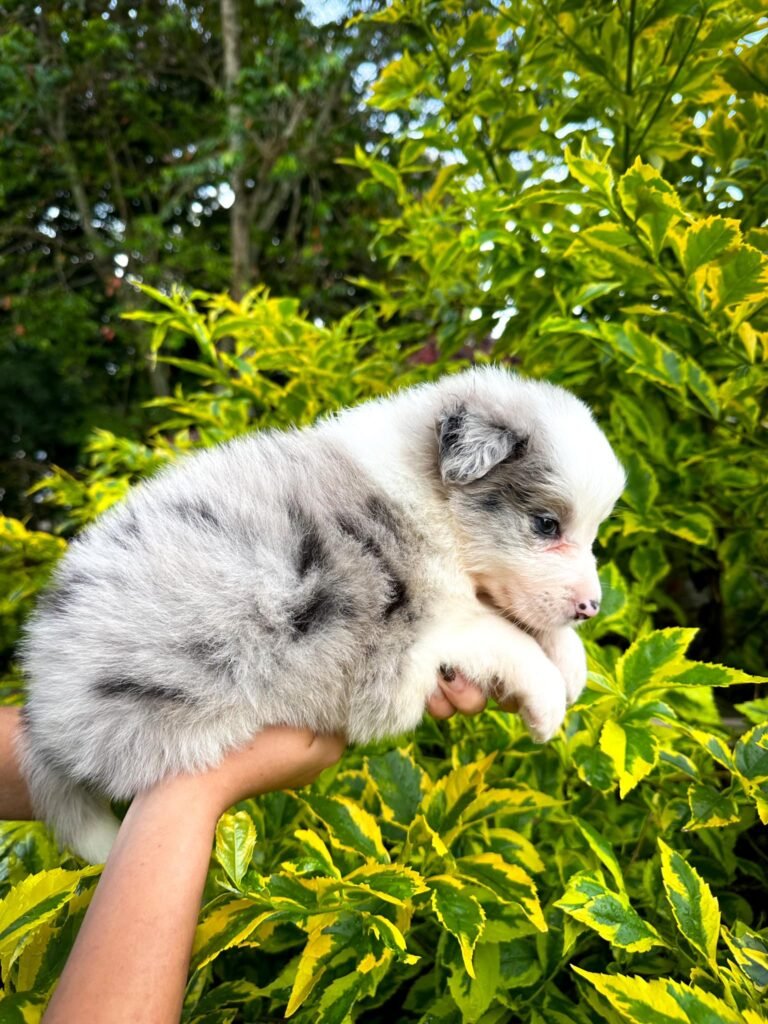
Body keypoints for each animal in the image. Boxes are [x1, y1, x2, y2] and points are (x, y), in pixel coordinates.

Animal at [19, 364, 626, 860]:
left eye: (592, 531)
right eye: (546, 525)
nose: (591, 607)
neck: (430, 501)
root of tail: (39, 710)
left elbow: (529, 623)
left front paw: (572, 660)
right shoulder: (428, 630)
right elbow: (511, 640)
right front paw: (549, 703)